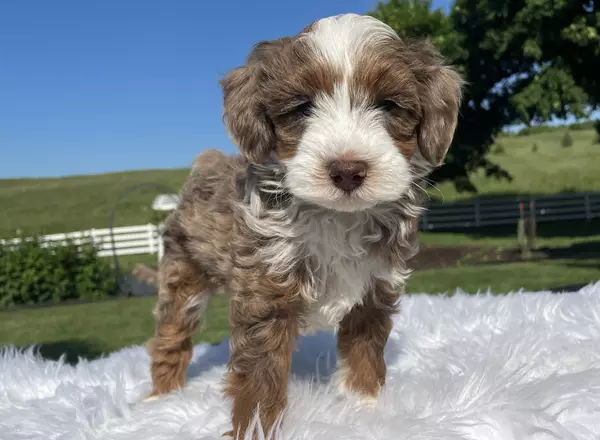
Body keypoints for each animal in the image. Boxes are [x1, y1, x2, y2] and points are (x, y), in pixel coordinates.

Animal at [146, 12, 464, 440]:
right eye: (301, 108)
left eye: (388, 105)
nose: (347, 170)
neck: (337, 217)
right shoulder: (265, 290)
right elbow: (260, 376)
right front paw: (257, 427)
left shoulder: (375, 289)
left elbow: (364, 351)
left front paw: (365, 410)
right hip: (185, 272)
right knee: (172, 332)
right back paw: (161, 399)